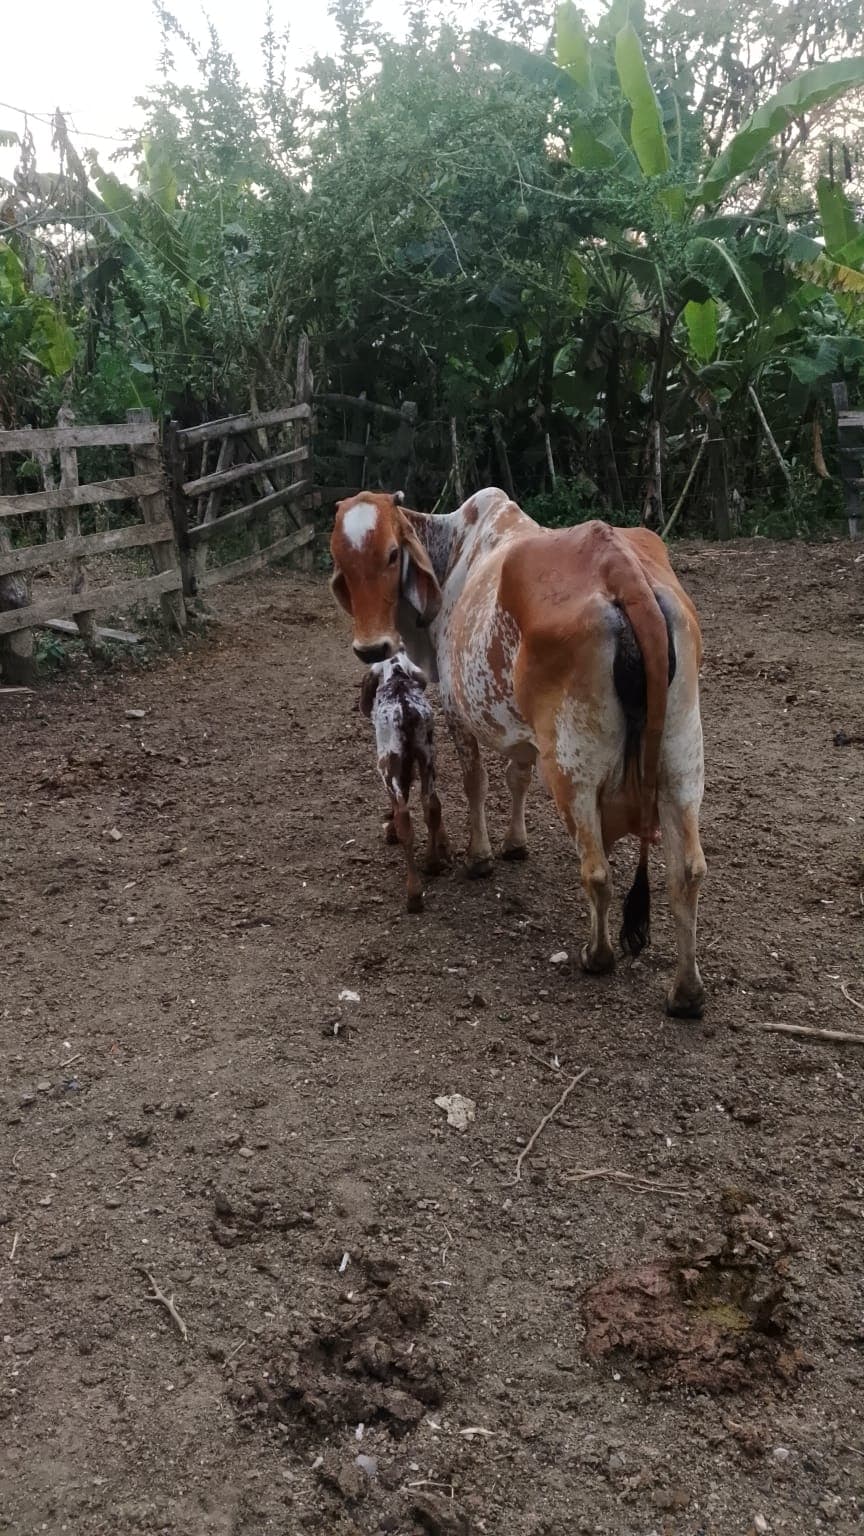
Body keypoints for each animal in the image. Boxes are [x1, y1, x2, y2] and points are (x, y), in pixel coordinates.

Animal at [359, 650, 450, 912]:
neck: (397, 676)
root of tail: (406, 708)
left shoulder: (396, 765)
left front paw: (389, 830)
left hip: (387, 765)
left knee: (405, 820)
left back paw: (414, 893)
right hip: (427, 756)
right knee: (431, 806)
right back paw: (432, 862)